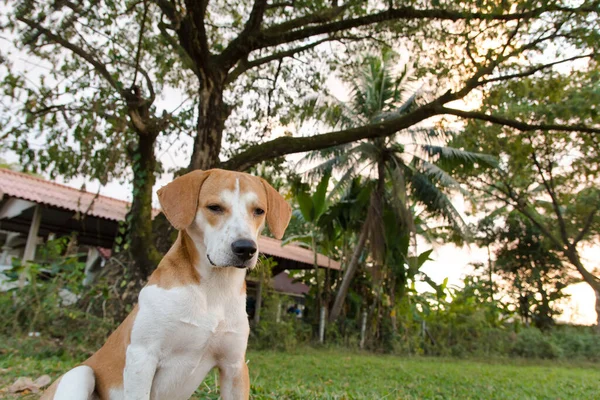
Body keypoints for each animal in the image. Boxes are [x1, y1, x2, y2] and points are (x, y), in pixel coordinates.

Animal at [41, 170, 292, 400]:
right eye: (214, 207)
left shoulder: (234, 366)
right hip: (82, 373)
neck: (212, 289)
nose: (245, 248)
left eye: (258, 211)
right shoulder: (142, 357)